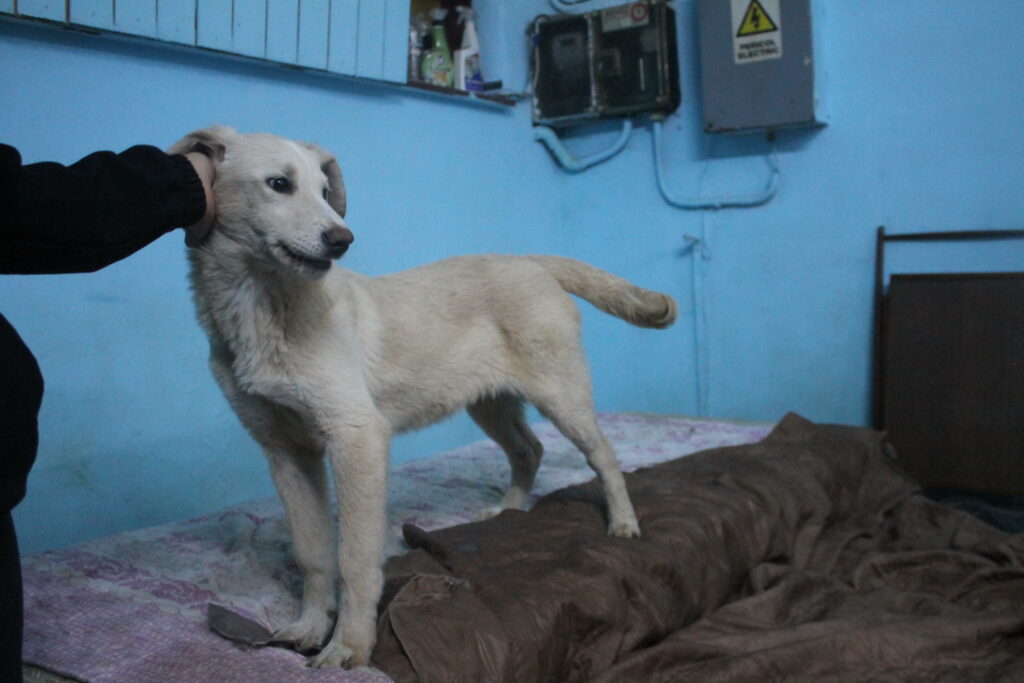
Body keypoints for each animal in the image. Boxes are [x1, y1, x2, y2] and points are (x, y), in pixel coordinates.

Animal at [170, 126, 678, 668]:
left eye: (326, 192)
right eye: (279, 184)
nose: (342, 239)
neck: (262, 306)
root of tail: (529, 260)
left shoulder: (358, 437)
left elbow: (354, 556)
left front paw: (350, 645)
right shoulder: (286, 451)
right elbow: (313, 553)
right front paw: (309, 626)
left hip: (562, 393)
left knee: (603, 454)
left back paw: (623, 523)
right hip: (490, 402)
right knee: (530, 449)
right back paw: (509, 510)